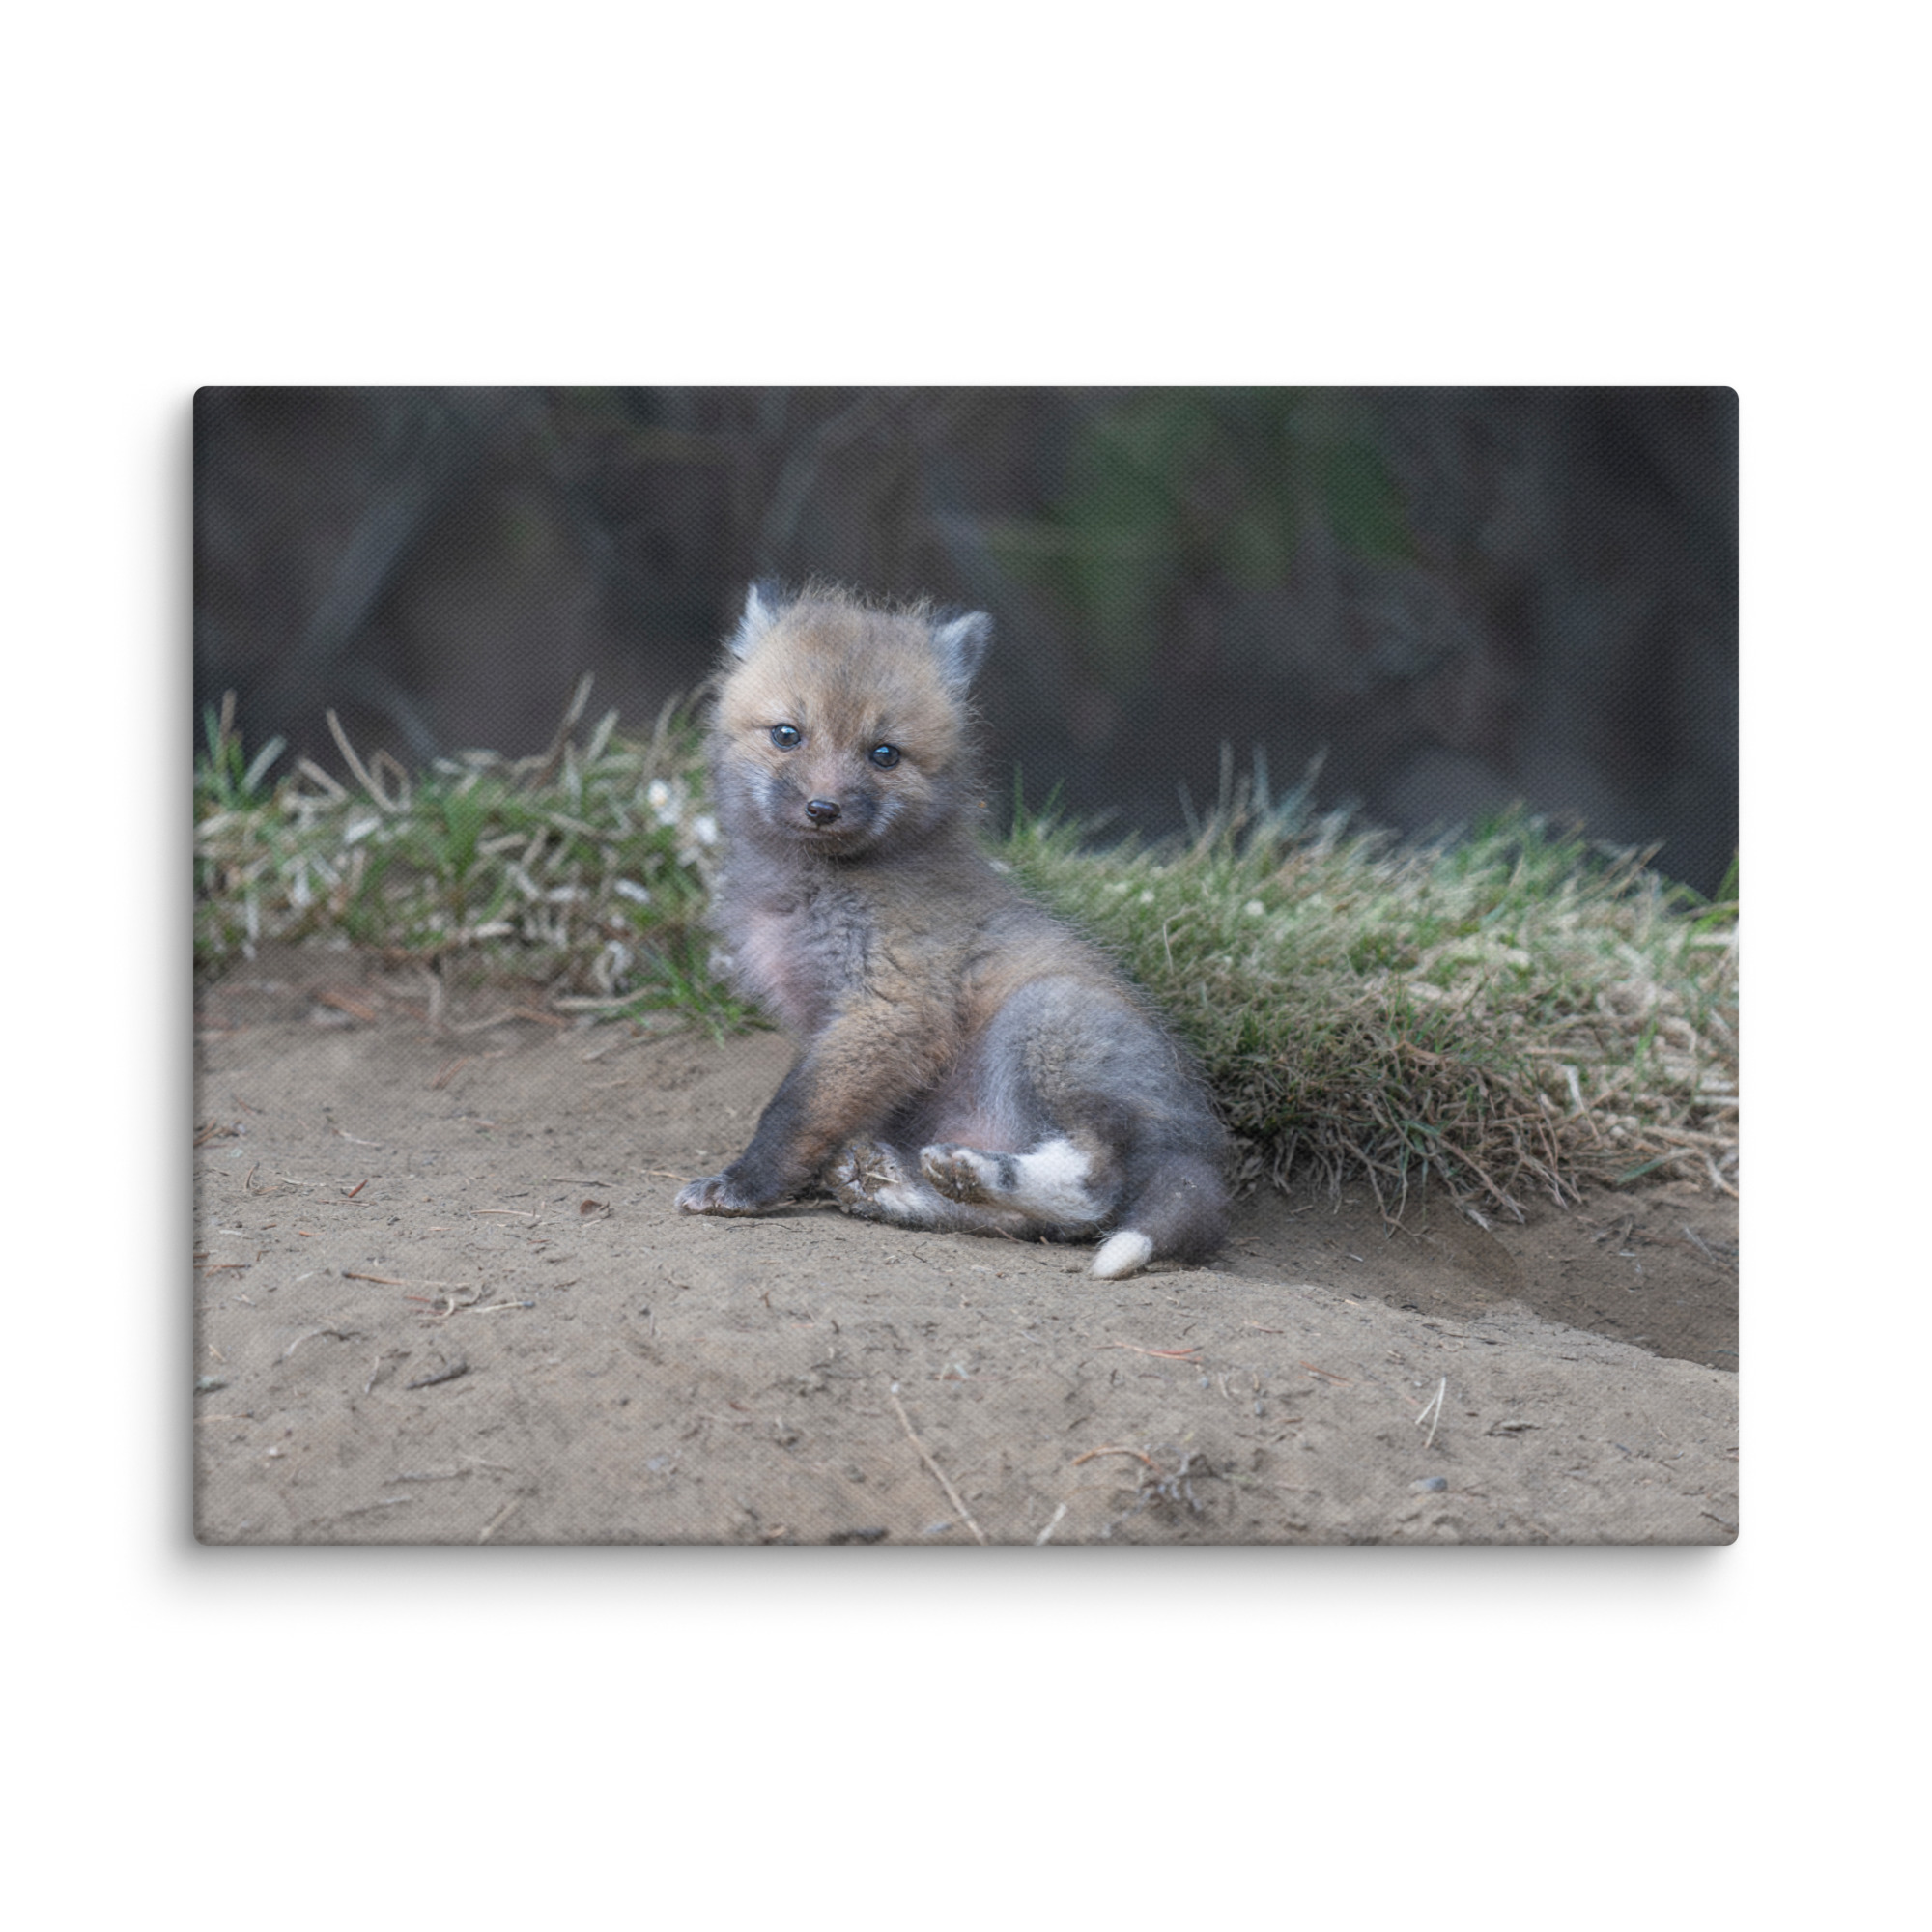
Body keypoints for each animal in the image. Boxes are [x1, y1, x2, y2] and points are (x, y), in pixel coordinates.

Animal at [674, 583, 1228, 1279]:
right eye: (786, 735)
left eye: (884, 754)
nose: (822, 808)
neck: (812, 889)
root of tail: (1201, 1146)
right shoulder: (830, 1023)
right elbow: (823, 1112)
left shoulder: (892, 1007)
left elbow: (794, 1111)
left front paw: (744, 1186)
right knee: (1029, 1224)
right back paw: (904, 1187)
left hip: (1044, 1019)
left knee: (1094, 1188)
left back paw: (972, 1172)